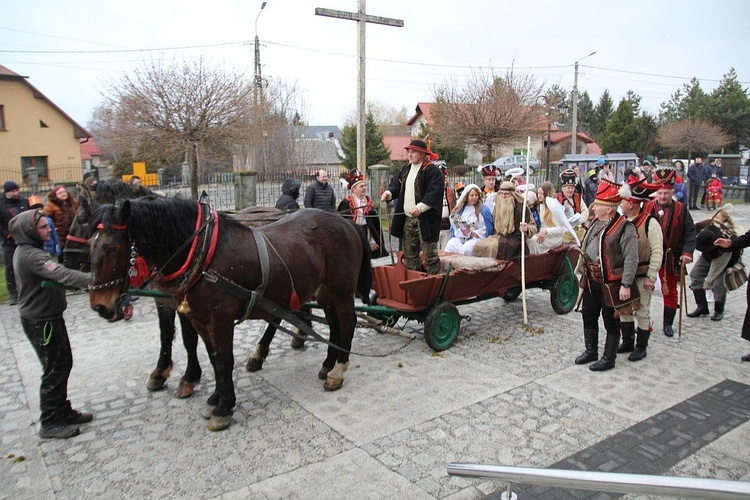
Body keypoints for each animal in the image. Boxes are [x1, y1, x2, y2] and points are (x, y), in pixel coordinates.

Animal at [89, 195, 372, 430]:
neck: (203, 254)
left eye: (112, 248)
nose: (99, 305)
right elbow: (212, 358)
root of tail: (346, 223)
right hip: (323, 293)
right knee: (333, 325)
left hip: (341, 292)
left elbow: (224, 360)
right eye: (91, 245)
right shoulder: (199, 318)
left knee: (348, 322)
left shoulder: (220, 320)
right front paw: (215, 398)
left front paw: (223, 409)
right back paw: (327, 364)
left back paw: (337, 371)